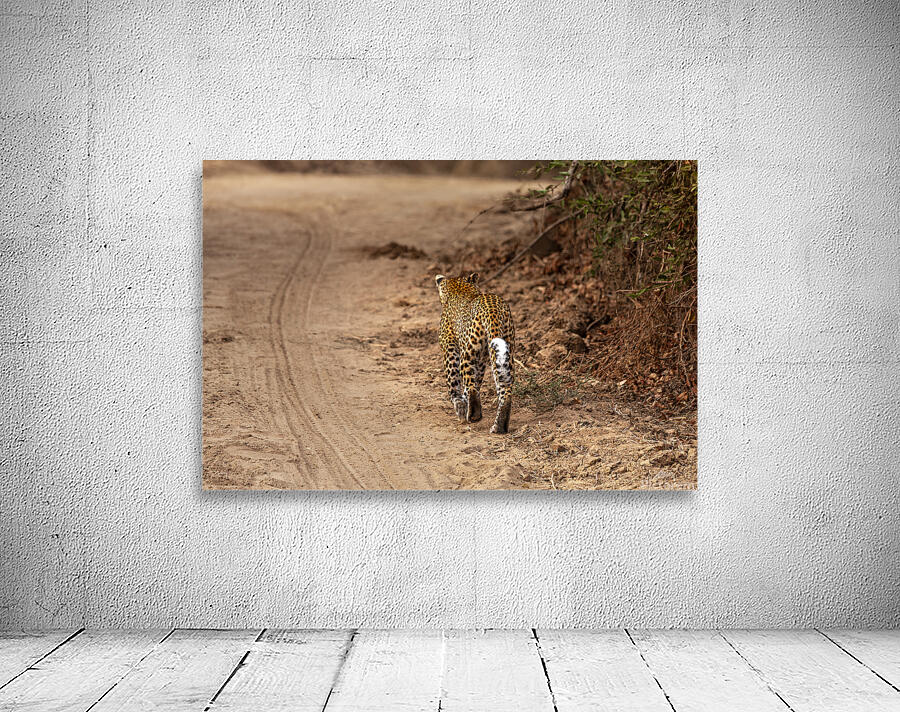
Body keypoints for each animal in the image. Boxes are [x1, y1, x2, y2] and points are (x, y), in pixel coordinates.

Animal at [434, 272, 515, 434]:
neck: (460, 288)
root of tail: (492, 308)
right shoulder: (482, 359)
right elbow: (477, 380)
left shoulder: (449, 348)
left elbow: (454, 383)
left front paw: (460, 405)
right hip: (504, 351)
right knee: (505, 388)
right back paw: (499, 426)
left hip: (469, 350)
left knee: (470, 383)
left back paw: (473, 414)